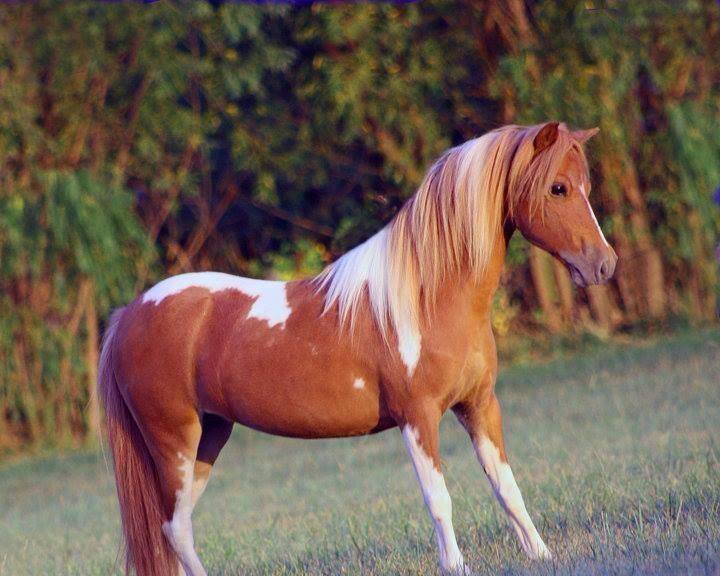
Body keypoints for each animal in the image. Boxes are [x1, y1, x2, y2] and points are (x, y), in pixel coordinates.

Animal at [100, 122, 620, 576]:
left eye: (585, 185)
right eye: (558, 188)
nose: (604, 265)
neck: (429, 296)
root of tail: (130, 313)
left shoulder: (479, 405)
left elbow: (506, 485)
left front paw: (541, 554)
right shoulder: (417, 417)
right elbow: (439, 497)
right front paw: (456, 566)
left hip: (211, 436)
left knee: (176, 525)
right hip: (174, 440)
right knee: (175, 529)